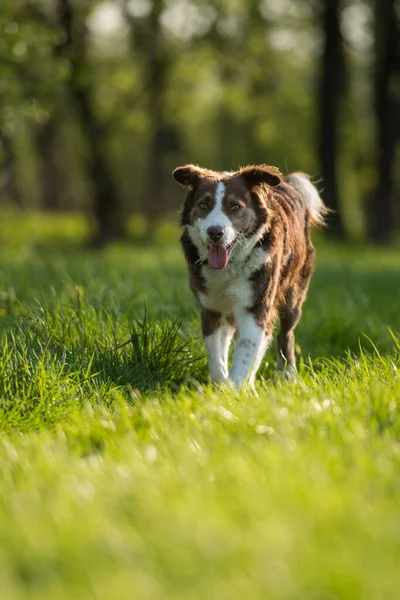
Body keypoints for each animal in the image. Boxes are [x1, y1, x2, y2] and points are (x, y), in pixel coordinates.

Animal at [173, 164, 328, 390]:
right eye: (203, 205)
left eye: (235, 206)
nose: (215, 232)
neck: (230, 266)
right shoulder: (212, 309)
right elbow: (216, 355)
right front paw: (221, 386)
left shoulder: (256, 305)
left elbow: (246, 352)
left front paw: (234, 390)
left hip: (293, 296)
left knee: (285, 334)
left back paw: (287, 376)